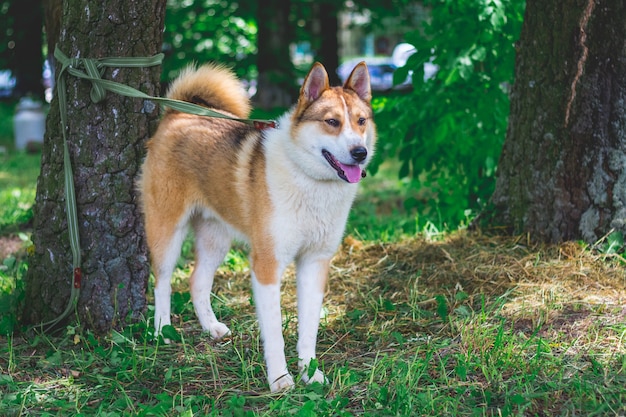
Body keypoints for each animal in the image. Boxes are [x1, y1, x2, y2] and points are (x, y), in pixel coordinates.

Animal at [138, 61, 376, 390]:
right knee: (162, 282)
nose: (359, 153)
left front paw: (309, 372)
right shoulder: (266, 265)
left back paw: (211, 327)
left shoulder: (315, 262)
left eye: (361, 121)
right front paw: (280, 379)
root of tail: (178, 114)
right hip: (166, 230)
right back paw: (162, 330)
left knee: (197, 280)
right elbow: (274, 333)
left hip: (216, 237)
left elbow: (308, 329)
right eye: (332, 122)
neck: (309, 180)